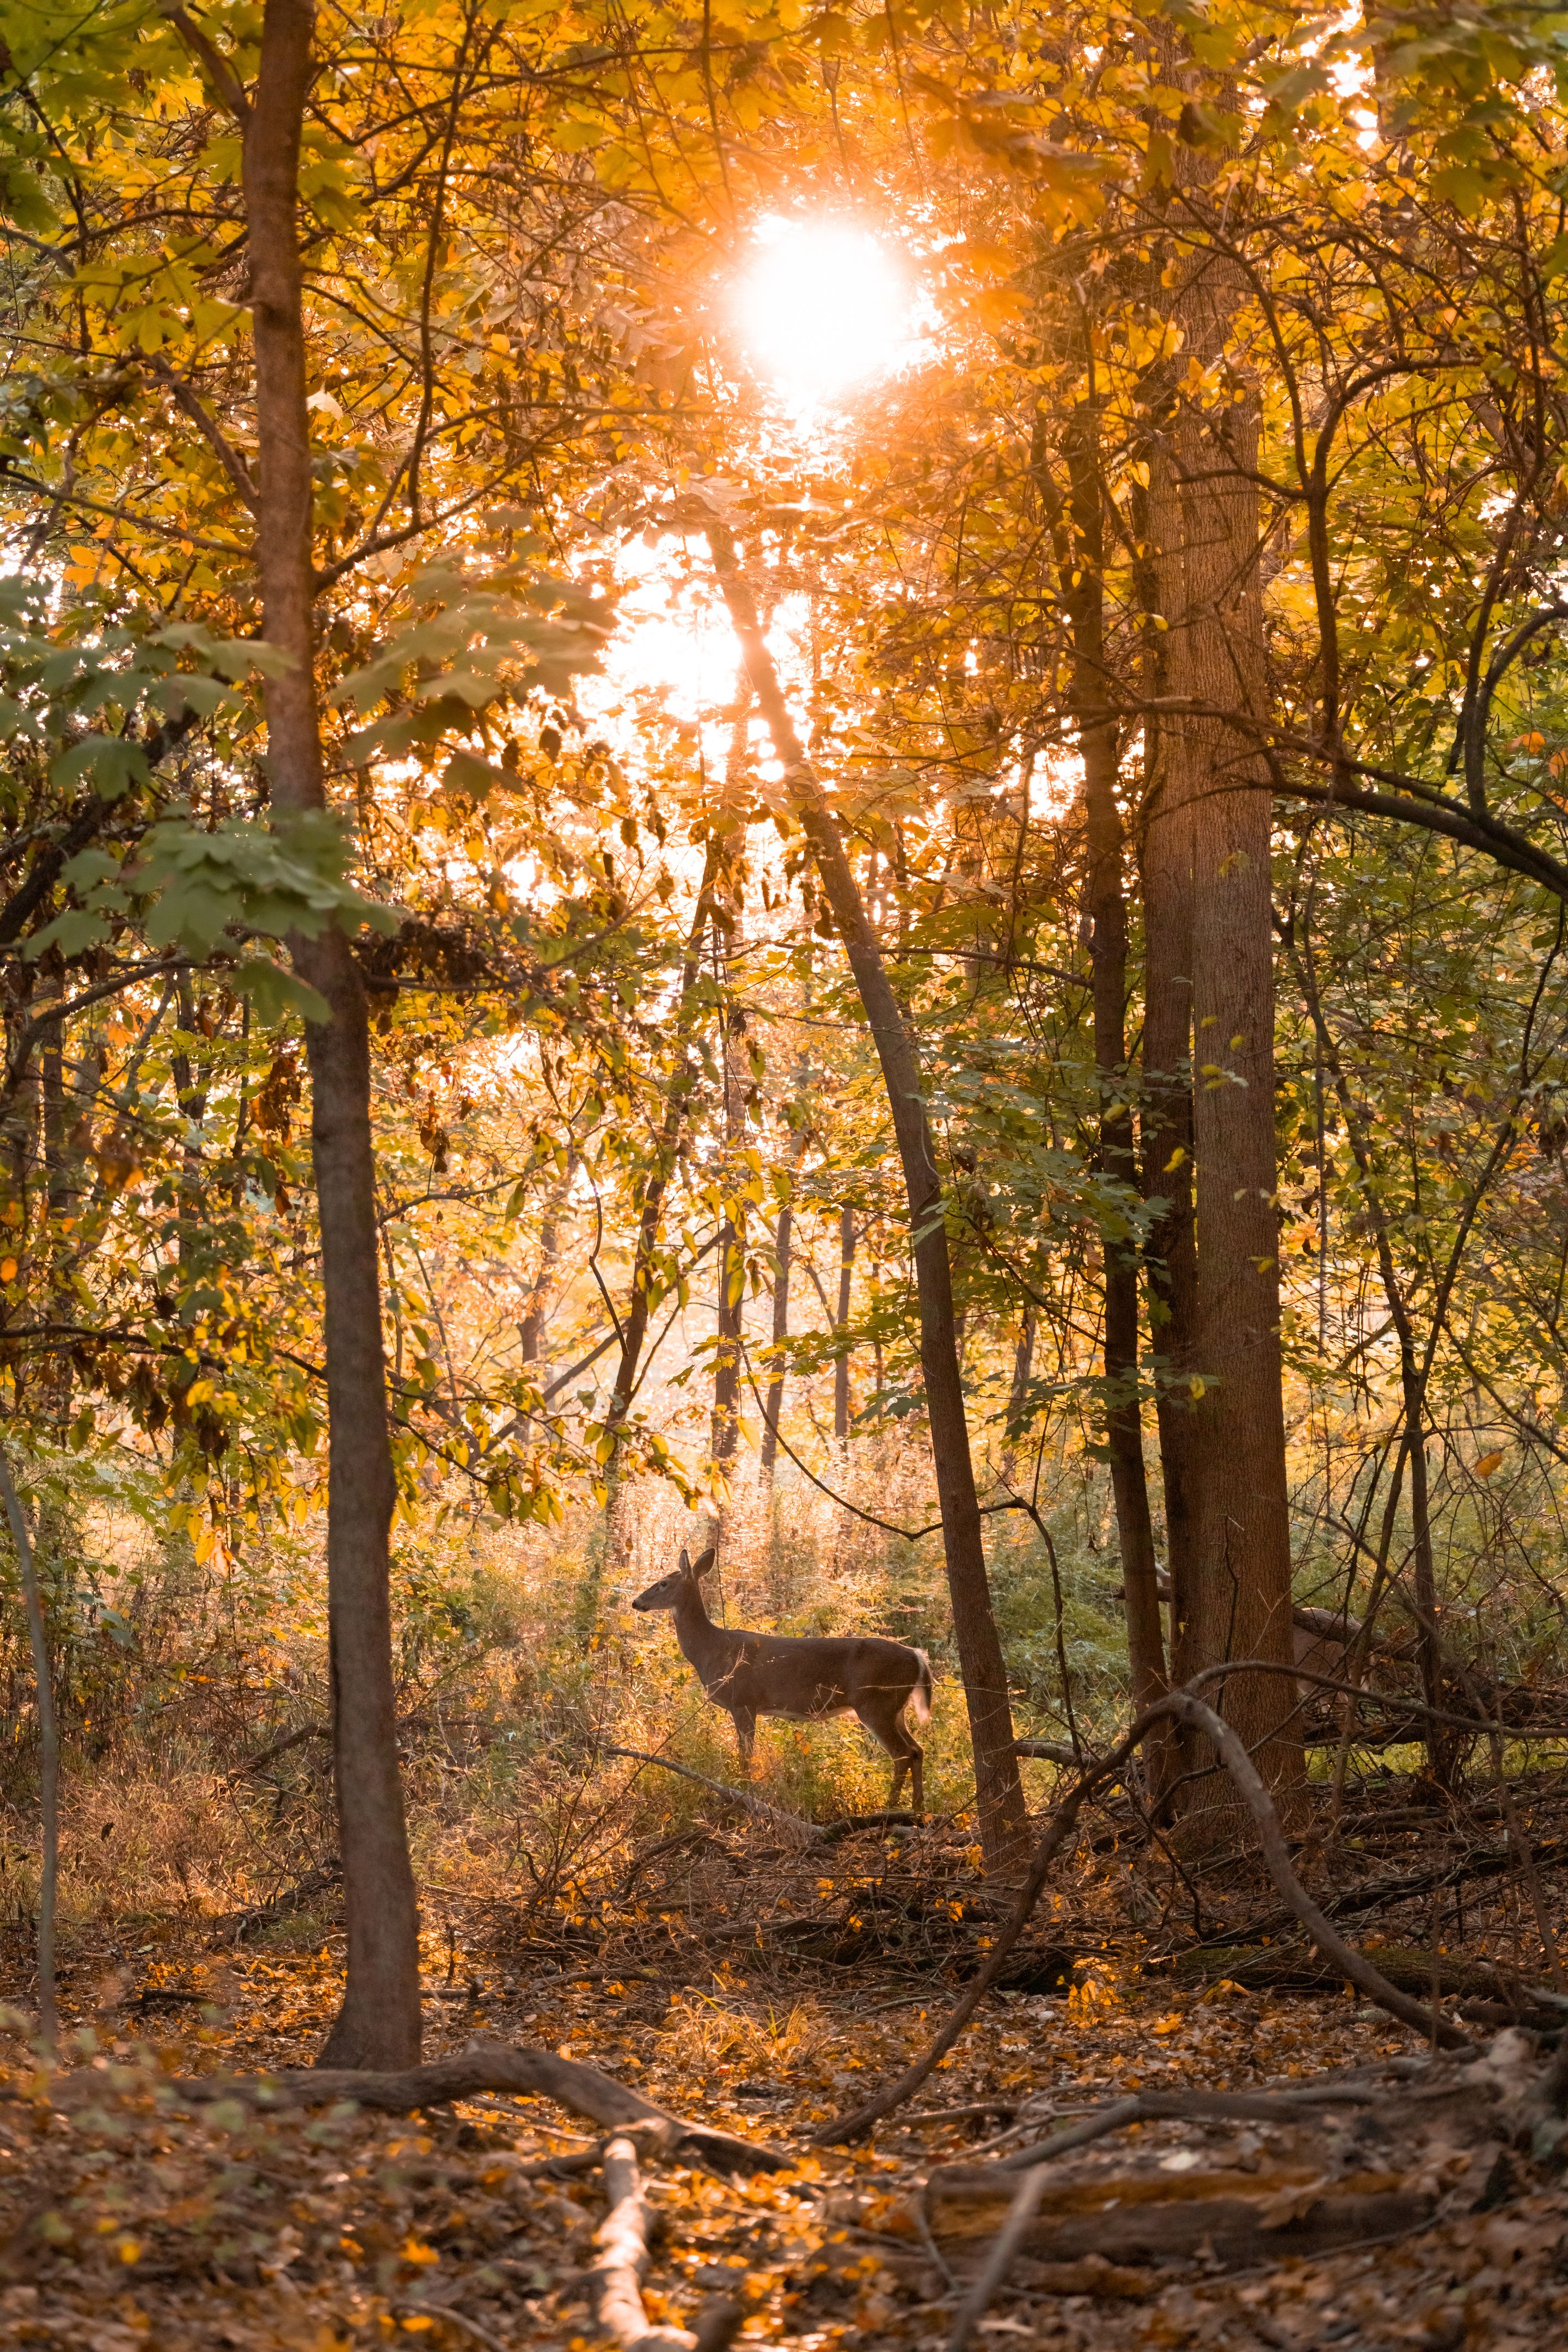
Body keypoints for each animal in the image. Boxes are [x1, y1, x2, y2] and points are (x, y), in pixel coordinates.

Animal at [631, 1545, 932, 1816]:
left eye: (663, 1583)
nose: (636, 1602)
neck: (711, 1649)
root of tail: (917, 1657)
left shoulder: (743, 1700)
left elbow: (746, 1755)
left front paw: (743, 1792)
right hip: (895, 1707)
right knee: (917, 1750)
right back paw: (918, 1809)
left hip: (875, 1702)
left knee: (902, 1753)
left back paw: (892, 1807)